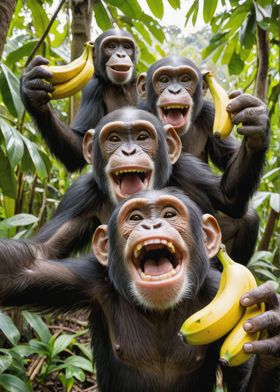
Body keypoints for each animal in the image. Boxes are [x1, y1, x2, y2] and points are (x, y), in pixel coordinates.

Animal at [0, 191, 280, 392]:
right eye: (135, 218)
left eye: (169, 214)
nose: (152, 224)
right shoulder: (86, 279)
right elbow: (17, 272)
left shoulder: (214, 288)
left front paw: (271, 329)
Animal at [20, 29, 138, 172]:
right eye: (111, 46)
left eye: (126, 47)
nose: (121, 54)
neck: (121, 86)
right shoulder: (92, 90)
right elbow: (80, 145)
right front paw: (32, 92)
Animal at [30, 108, 260, 264]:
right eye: (114, 138)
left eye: (142, 137)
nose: (128, 151)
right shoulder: (80, 196)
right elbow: (45, 248)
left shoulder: (189, 171)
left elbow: (229, 199)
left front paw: (256, 125)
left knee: (246, 218)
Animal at [137, 56, 270, 264]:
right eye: (164, 79)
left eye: (185, 79)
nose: (175, 90)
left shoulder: (210, 113)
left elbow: (228, 196)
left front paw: (256, 122)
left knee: (248, 218)